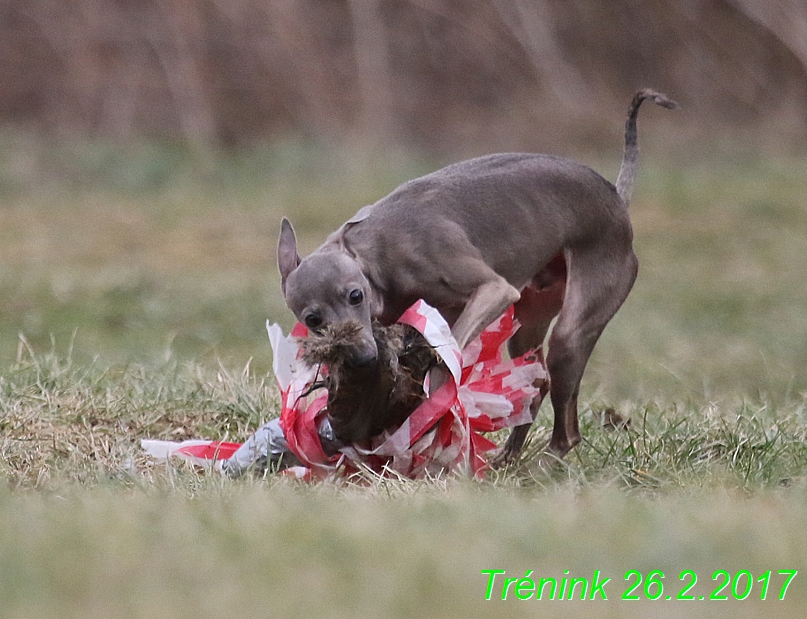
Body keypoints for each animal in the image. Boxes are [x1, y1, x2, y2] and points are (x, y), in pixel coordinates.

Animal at [276, 89, 676, 462]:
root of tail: (616, 197)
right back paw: (506, 460)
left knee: (567, 425)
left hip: (576, 323)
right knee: (537, 385)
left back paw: (541, 466)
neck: (373, 253)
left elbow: (447, 353)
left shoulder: (492, 289)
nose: (361, 360)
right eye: (313, 320)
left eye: (354, 295)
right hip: (530, 321)